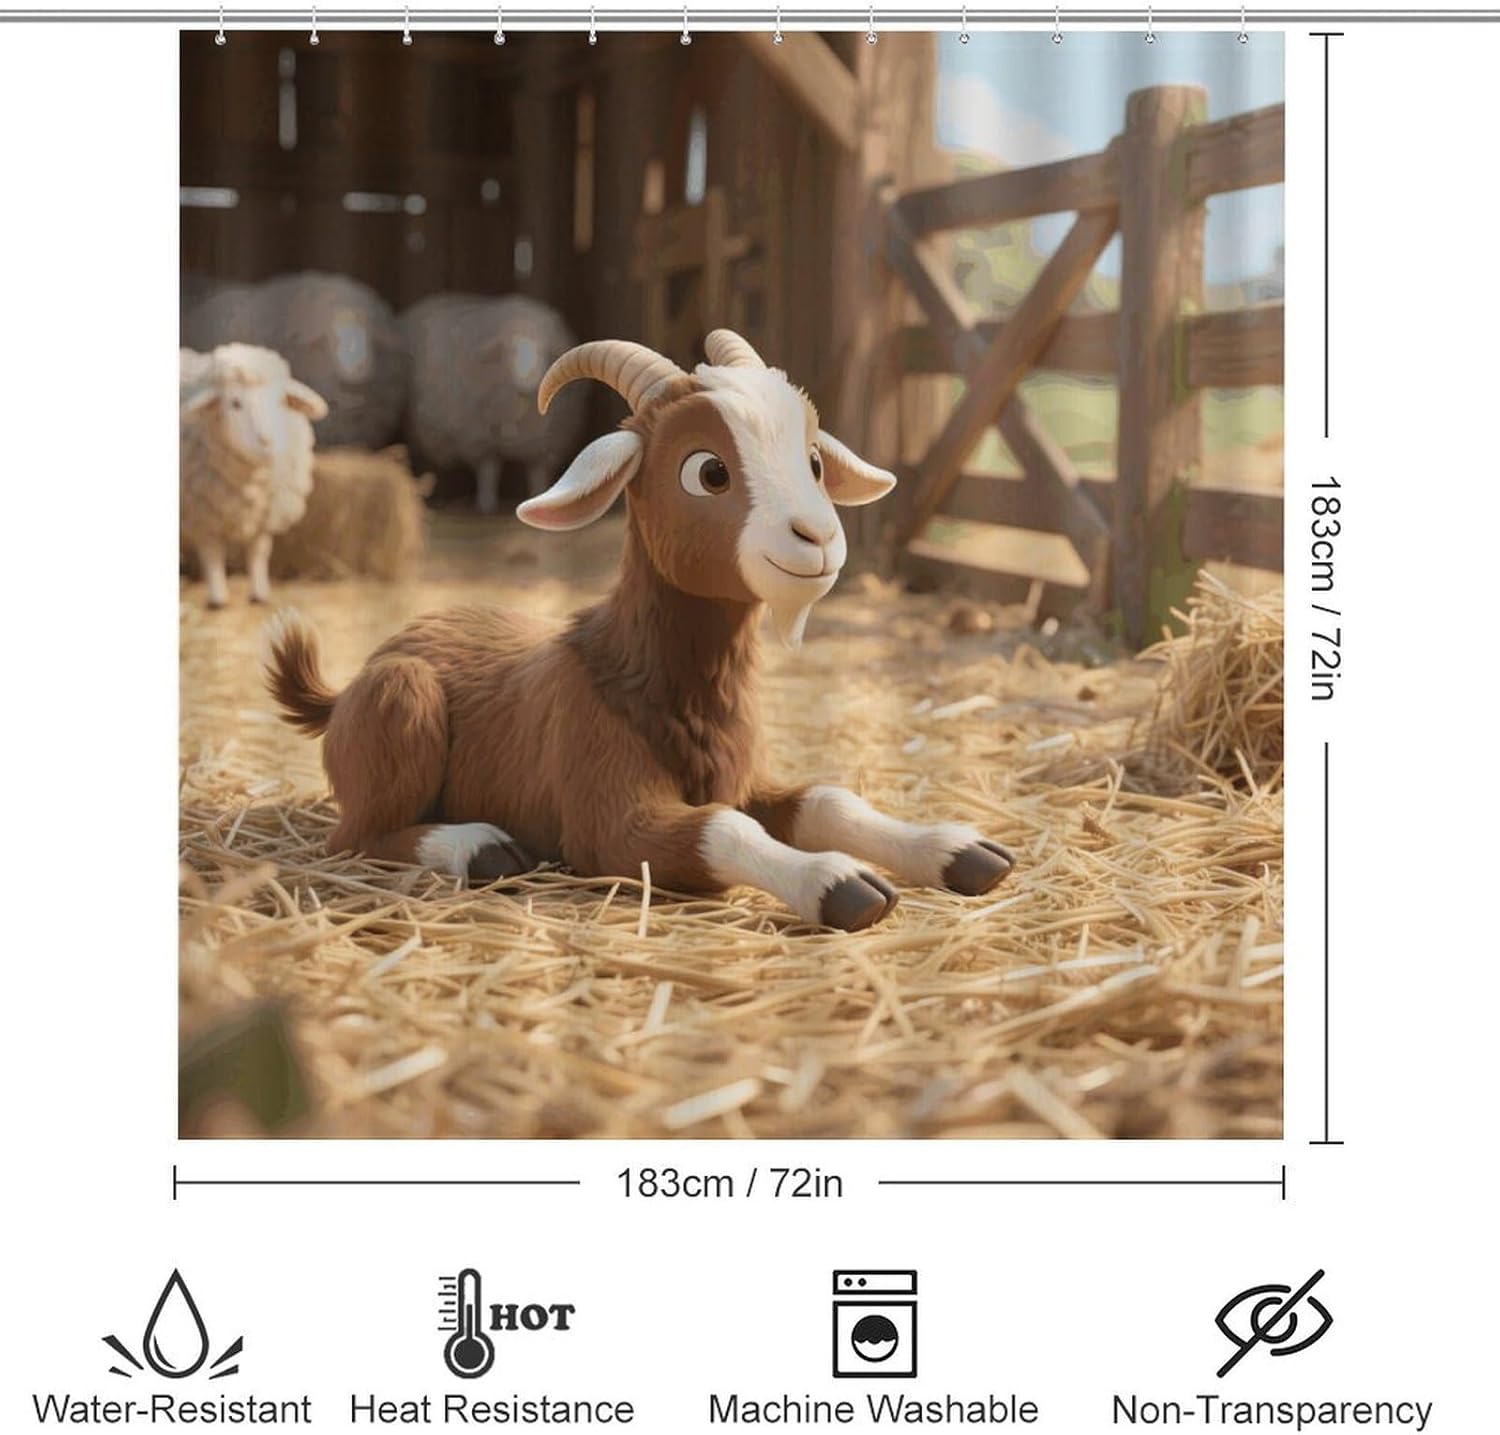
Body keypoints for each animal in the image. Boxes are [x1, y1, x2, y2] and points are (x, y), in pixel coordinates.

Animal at [266, 330, 1014, 931]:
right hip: (401, 700)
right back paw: (481, 847)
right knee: (357, 835)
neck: (642, 676)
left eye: (814, 462)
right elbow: (723, 830)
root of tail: (345, 687)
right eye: (708, 470)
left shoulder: (743, 775)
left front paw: (958, 849)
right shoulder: (607, 823)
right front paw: (837, 881)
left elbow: (826, 798)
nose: (818, 538)